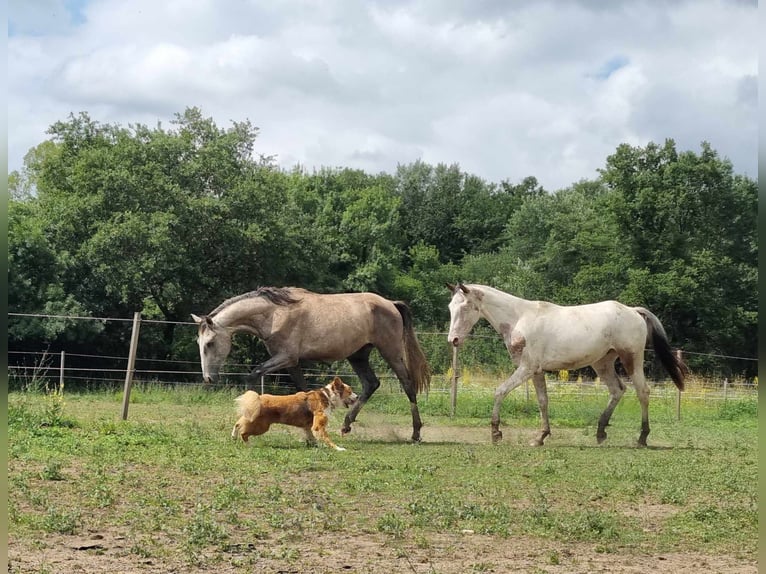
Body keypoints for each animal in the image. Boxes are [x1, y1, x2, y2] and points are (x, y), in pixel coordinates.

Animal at [231, 378, 360, 454]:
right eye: (350, 391)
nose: (358, 396)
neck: (328, 396)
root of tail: (258, 399)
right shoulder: (318, 426)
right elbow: (327, 438)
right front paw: (338, 448)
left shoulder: (308, 427)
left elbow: (312, 437)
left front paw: (315, 445)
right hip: (261, 426)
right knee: (244, 432)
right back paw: (249, 444)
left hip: (252, 418)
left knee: (238, 423)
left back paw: (233, 436)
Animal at [444, 286, 688, 448]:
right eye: (450, 307)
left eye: (465, 307)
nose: (453, 340)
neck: (518, 319)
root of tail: (633, 311)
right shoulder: (536, 372)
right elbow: (543, 401)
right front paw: (540, 437)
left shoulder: (526, 368)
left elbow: (500, 391)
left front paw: (496, 432)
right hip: (602, 363)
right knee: (617, 390)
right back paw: (600, 433)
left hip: (631, 359)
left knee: (642, 392)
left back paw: (642, 438)